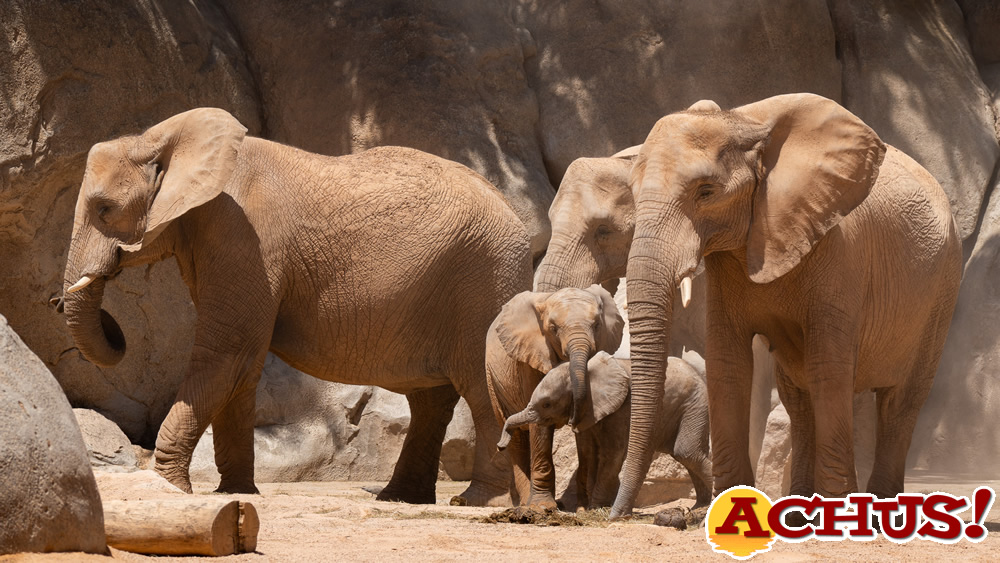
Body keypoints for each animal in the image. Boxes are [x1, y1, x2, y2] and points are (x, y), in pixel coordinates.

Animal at [60, 107, 532, 506]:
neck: (161, 139)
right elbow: (241, 367)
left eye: (105, 209)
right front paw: (236, 494)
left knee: (480, 386)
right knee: (430, 400)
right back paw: (400, 499)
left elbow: (225, 356)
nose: (116, 328)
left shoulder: (242, 240)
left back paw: (477, 501)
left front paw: (170, 489)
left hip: (484, 280)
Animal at [482, 284, 616, 508]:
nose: (571, 420)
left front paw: (581, 508)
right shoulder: (530, 358)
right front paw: (542, 507)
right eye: (553, 329)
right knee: (517, 438)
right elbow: (539, 427)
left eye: (597, 325)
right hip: (493, 380)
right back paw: (526, 503)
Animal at [500, 354, 712, 512]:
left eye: (546, 404)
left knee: (686, 452)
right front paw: (590, 508)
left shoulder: (622, 408)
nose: (500, 446)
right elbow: (590, 453)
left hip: (694, 406)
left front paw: (596, 507)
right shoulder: (589, 410)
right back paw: (700, 507)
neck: (581, 375)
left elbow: (612, 452)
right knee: (688, 455)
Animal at [608, 93, 960, 520]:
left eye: (705, 192)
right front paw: (732, 510)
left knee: (901, 401)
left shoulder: (841, 251)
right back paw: (799, 512)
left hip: (942, 291)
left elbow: (829, 367)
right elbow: (727, 363)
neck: (741, 123)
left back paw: (881, 513)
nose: (617, 514)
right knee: (799, 398)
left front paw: (843, 514)